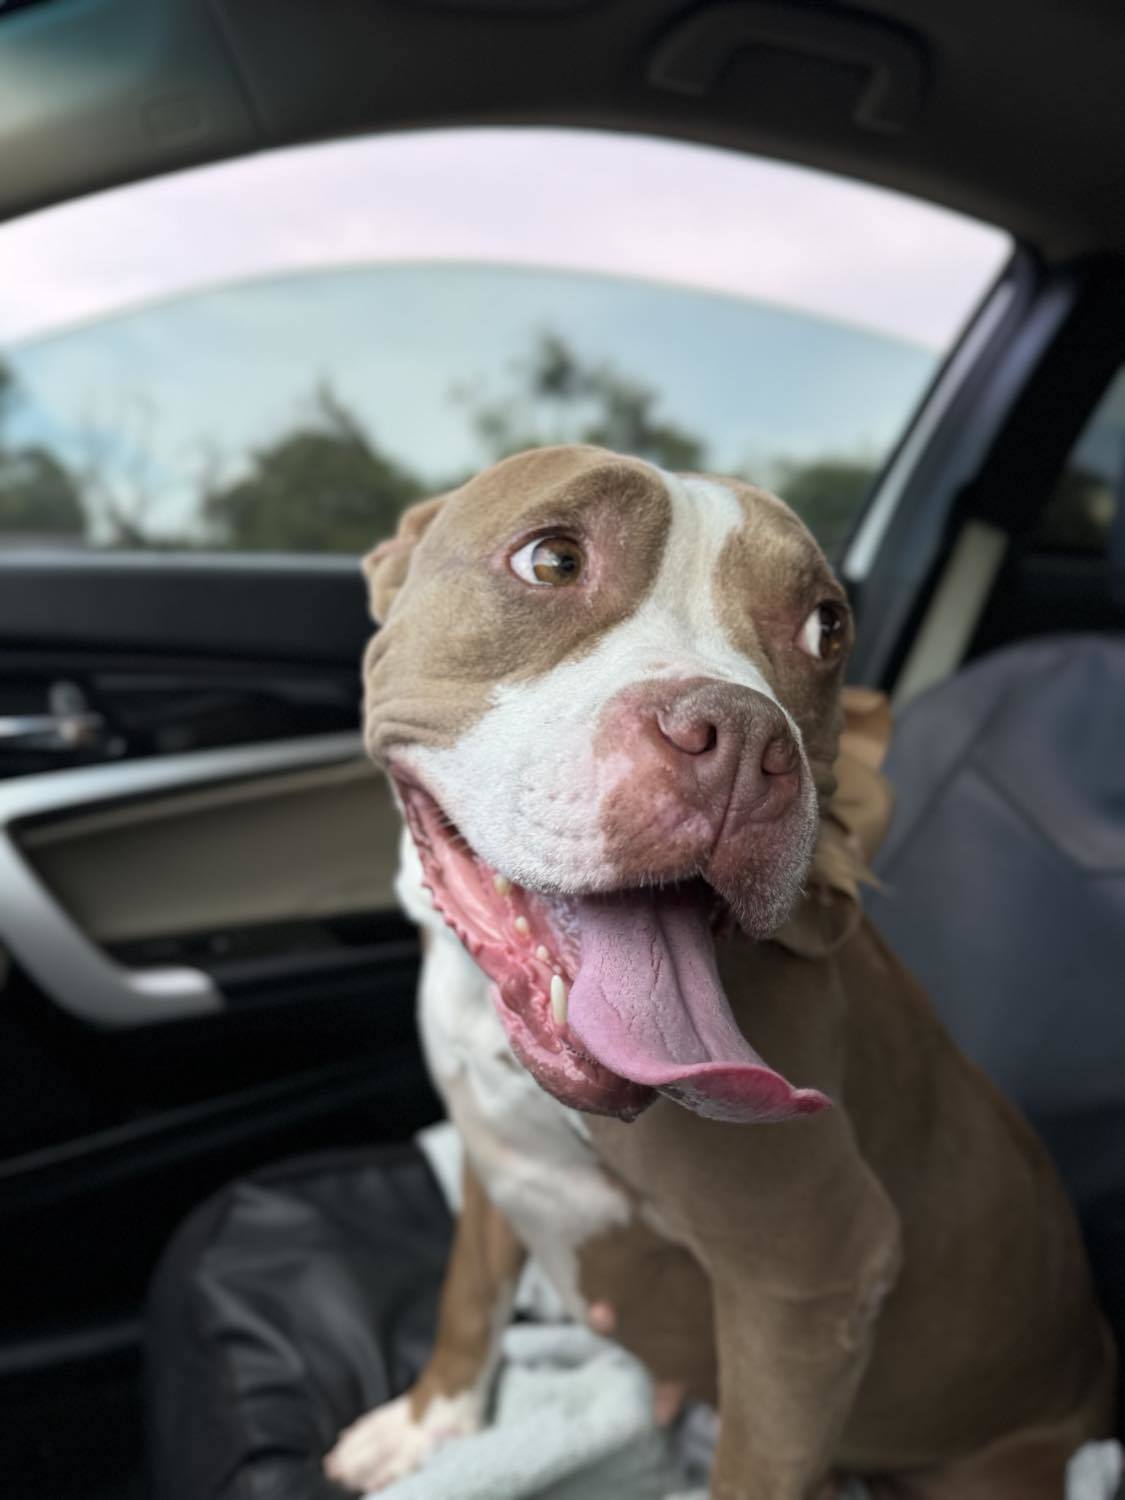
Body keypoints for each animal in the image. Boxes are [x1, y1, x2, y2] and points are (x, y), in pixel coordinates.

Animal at [321, 447, 1116, 1500]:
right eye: (551, 560)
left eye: (825, 627)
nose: (742, 741)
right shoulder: (488, 1149)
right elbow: (469, 1294)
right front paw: (428, 1423)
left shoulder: (809, 1275)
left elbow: (755, 1468)